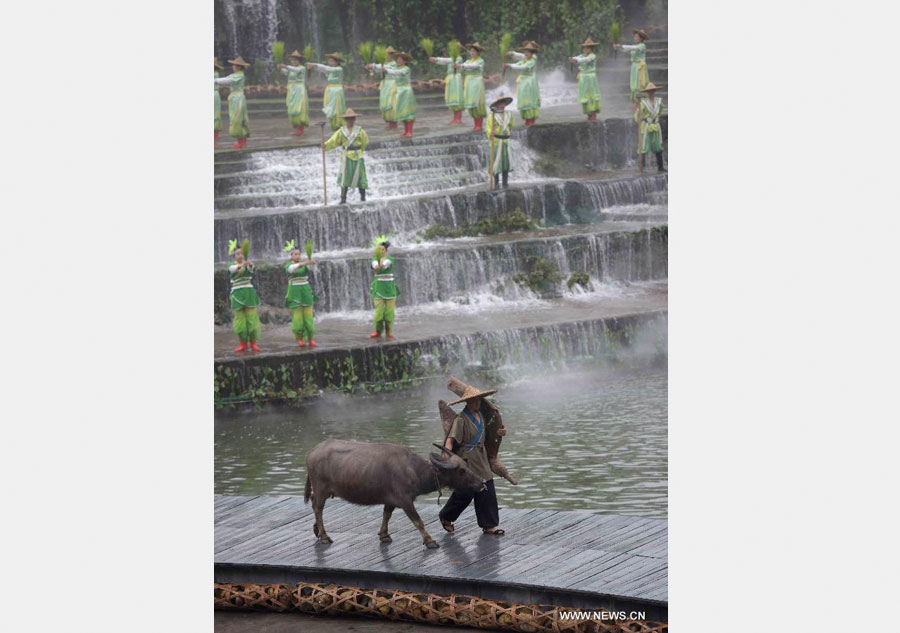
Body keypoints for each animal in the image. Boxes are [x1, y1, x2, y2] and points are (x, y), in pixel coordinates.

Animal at [304, 440, 486, 548]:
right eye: (461, 471)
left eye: (466, 465)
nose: (482, 484)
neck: (413, 470)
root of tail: (312, 451)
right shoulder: (405, 501)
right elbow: (418, 521)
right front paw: (430, 541)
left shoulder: (390, 500)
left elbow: (387, 515)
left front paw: (384, 535)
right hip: (321, 489)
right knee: (318, 507)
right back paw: (324, 536)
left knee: (314, 504)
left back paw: (316, 530)